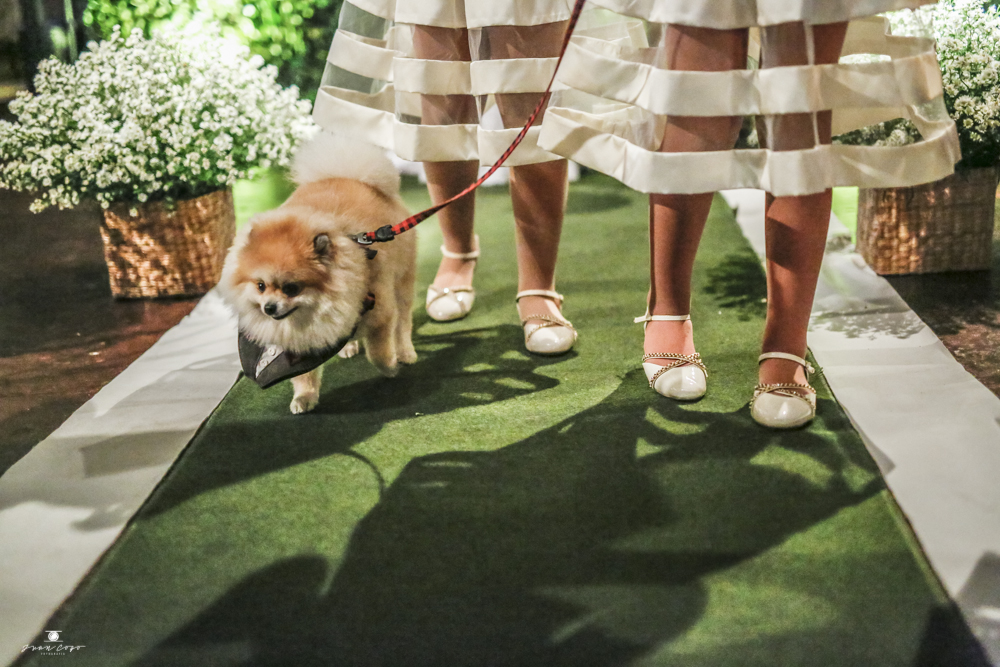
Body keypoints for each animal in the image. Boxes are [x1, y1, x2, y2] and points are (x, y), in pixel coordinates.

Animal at [219, 133, 417, 414]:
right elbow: (304, 376)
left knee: (403, 322)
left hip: (402, 282)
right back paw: (350, 346)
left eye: (292, 288)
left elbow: (378, 351)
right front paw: (304, 397)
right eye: (260, 286)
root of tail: (348, 174)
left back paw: (406, 352)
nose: (269, 307)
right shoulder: (302, 344)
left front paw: (390, 367)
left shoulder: (382, 313)